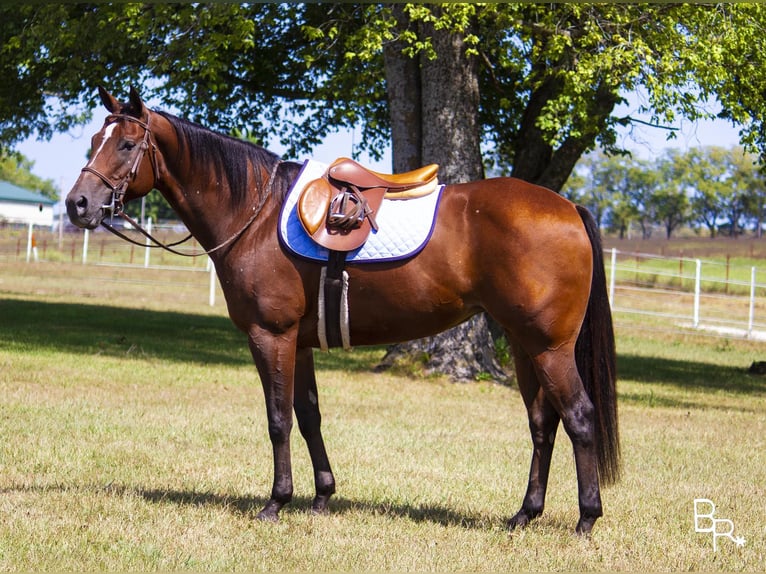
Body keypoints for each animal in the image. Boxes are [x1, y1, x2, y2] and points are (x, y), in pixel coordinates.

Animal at [64, 88, 616, 536]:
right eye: (93, 139)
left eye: (126, 145)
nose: (77, 204)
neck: (256, 214)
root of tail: (568, 207)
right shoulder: (299, 343)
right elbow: (308, 416)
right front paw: (322, 496)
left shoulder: (271, 335)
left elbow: (278, 420)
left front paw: (276, 503)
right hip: (525, 346)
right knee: (543, 423)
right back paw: (525, 514)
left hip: (550, 348)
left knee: (580, 417)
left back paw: (587, 519)